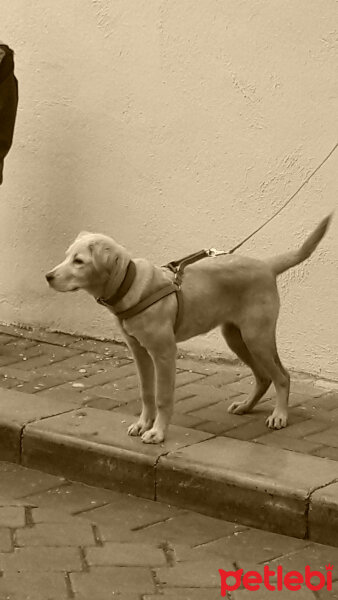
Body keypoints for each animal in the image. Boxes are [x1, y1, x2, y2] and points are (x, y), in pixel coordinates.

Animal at [45, 214, 330, 440]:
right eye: (67, 257)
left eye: (79, 261)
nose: (47, 276)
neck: (131, 284)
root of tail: (267, 266)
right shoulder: (139, 351)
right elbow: (146, 392)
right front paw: (143, 424)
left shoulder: (164, 353)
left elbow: (163, 396)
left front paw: (158, 433)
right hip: (235, 336)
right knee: (264, 376)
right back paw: (246, 406)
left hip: (256, 336)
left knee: (282, 376)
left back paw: (279, 415)